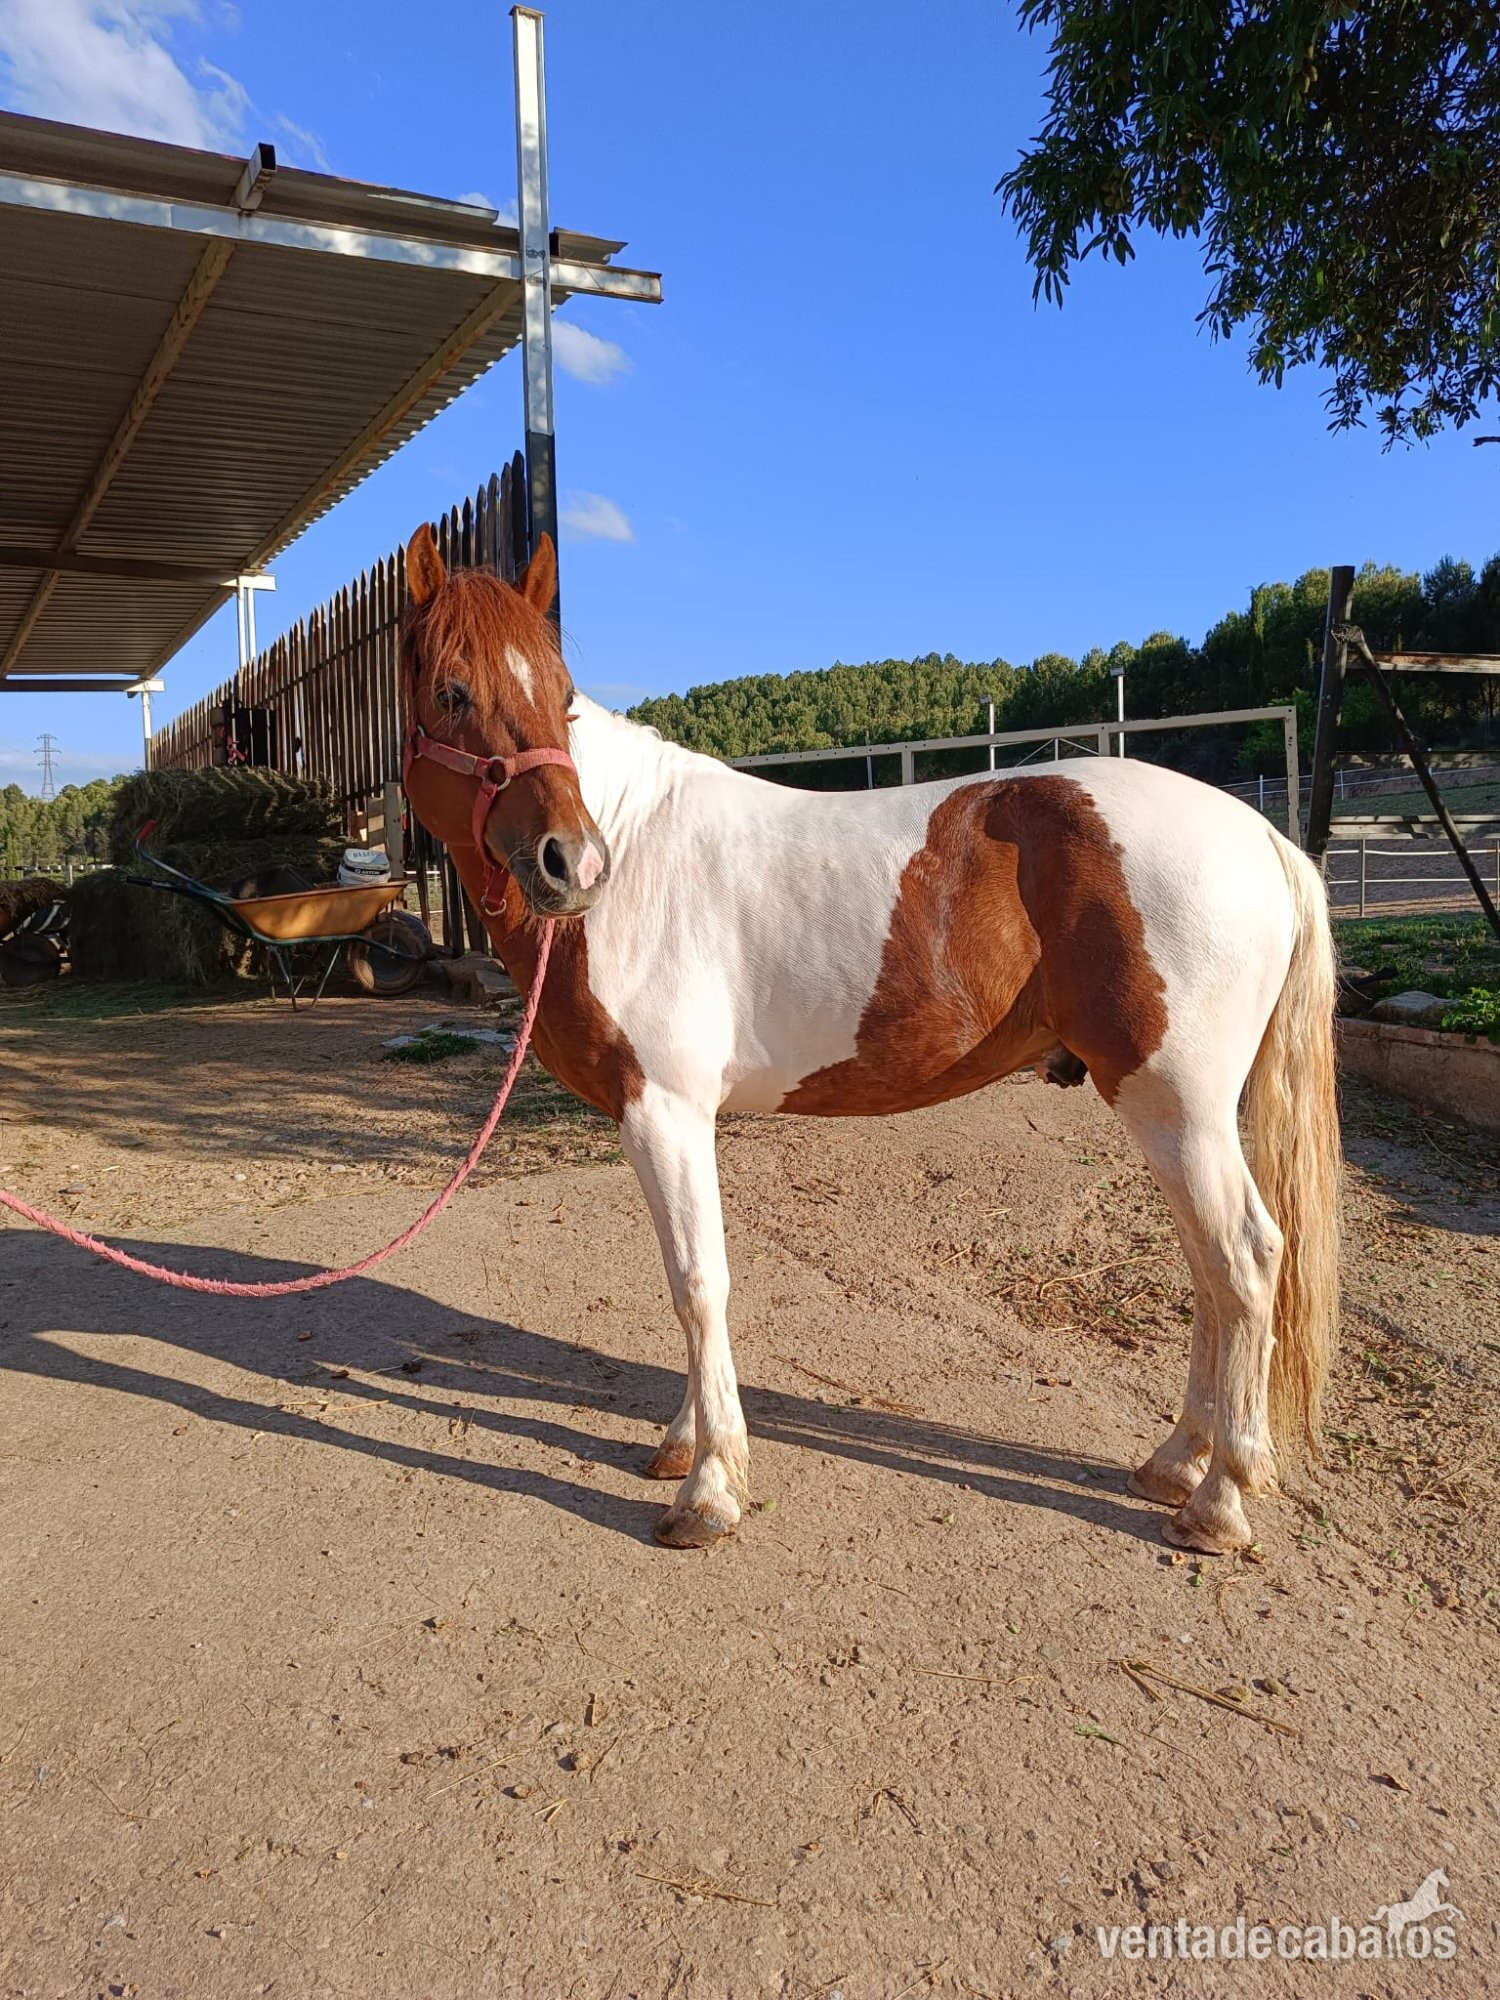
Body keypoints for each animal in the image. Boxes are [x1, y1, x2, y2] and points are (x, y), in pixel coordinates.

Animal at [398, 525, 1341, 1557]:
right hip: (1169, 1113)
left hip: (1178, 1103)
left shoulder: (665, 1112)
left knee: (1244, 1260)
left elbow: (698, 1283)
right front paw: (683, 1444)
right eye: (452, 689)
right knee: (1209, 1270)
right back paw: (1177, 1461)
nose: (571, 864)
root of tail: (1262, 837)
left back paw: (1220, 1497)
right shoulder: (656, 1121)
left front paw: (710, 1488)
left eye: (561, 694)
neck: (638, 846)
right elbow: (683, 1280)